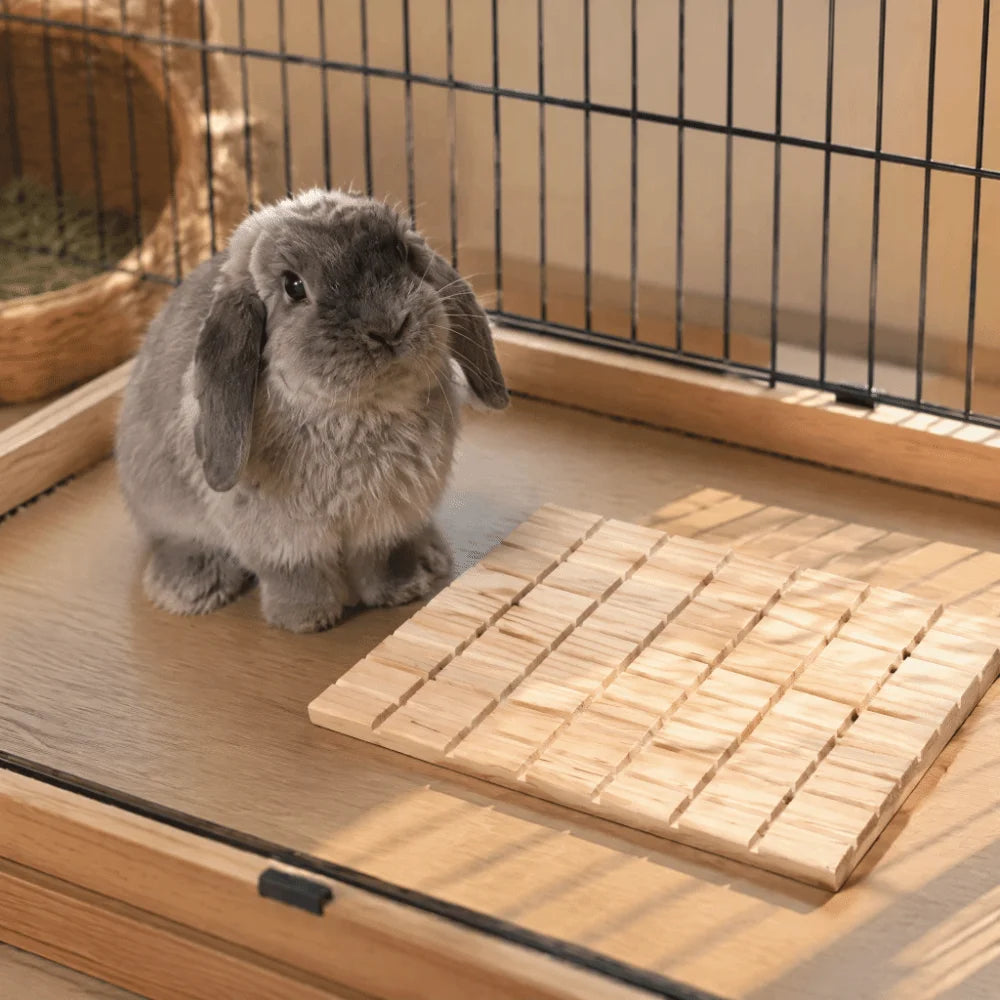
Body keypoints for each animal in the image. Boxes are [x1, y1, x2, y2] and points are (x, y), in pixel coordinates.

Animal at [115, 188, 508, 632]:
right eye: (293, 286)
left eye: (401, 252)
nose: (389, 327)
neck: (358, 410)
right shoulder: (281, 537)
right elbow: (297, 574)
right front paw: (305, 620)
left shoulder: (386, 521)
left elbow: (382, 559)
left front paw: (403, 591)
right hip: (164, 508)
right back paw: (189, 590)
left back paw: (429, 558)